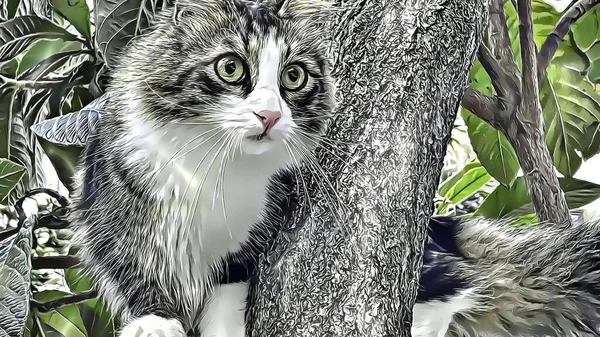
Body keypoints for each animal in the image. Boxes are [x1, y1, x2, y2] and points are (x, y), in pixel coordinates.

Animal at [69, 0, 338, 336]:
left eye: (293, 76)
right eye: (230, 68)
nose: (270, 116)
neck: (214, 166)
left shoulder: (246, 245)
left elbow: (226, 294)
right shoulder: (113, 227)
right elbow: (142, 278)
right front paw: (156, 323)